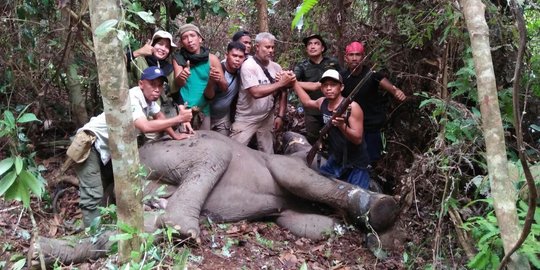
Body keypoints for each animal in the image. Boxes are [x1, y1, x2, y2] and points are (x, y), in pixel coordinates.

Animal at [32, 131, 396, 266]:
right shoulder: (287, 165)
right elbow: (303, 180)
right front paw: (381, 208)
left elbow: (312, 226)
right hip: (159, 153)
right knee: (214, 152)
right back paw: (184, 227)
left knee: (138, 226)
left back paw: (40, 252)